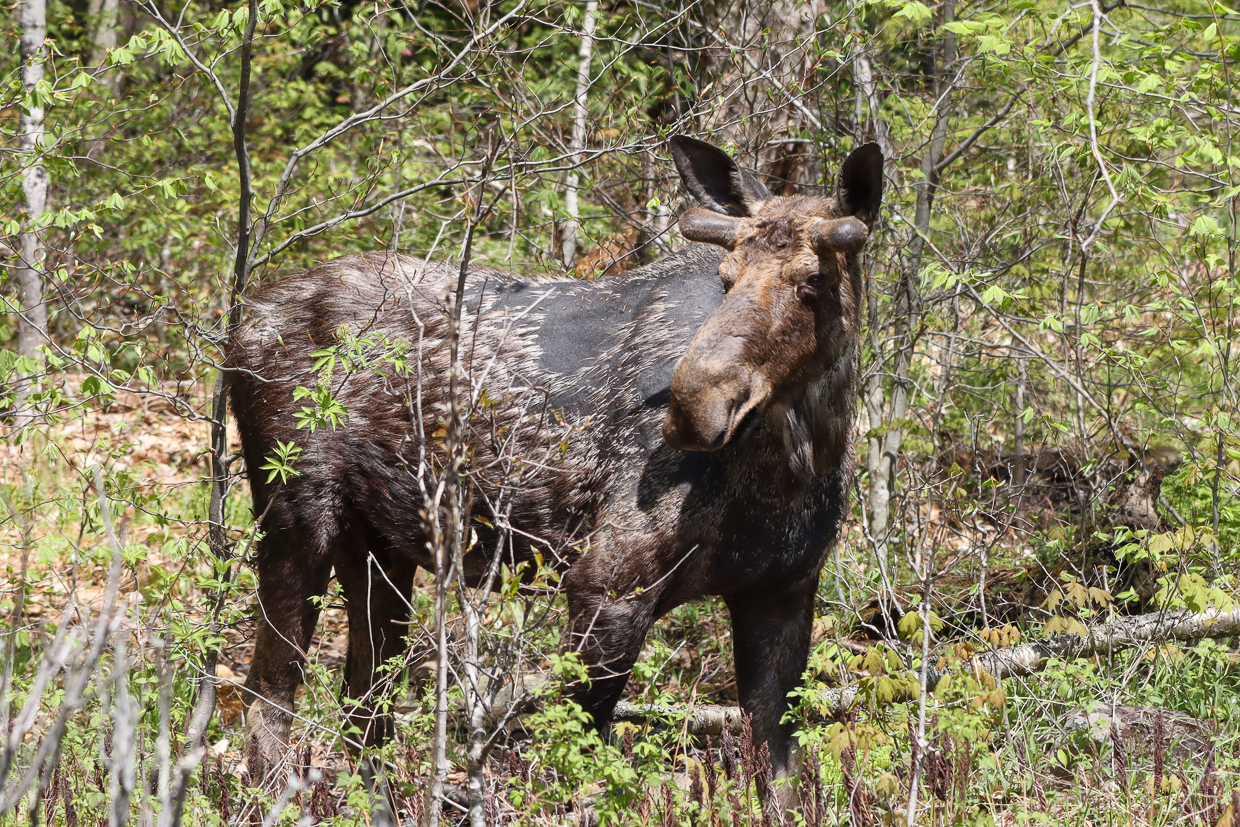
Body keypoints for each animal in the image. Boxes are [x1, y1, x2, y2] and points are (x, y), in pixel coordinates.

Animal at [227, 135, 883, 800]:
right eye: (725, 278)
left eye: (813, 280)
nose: (695, 407)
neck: (790, 472)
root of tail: (242, 319)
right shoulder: (607, 585)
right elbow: (574, 770)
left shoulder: (782, 593)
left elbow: (780, 780)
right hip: (296, 515)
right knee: (267, 698)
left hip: (380, 548)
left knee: (364, 706)